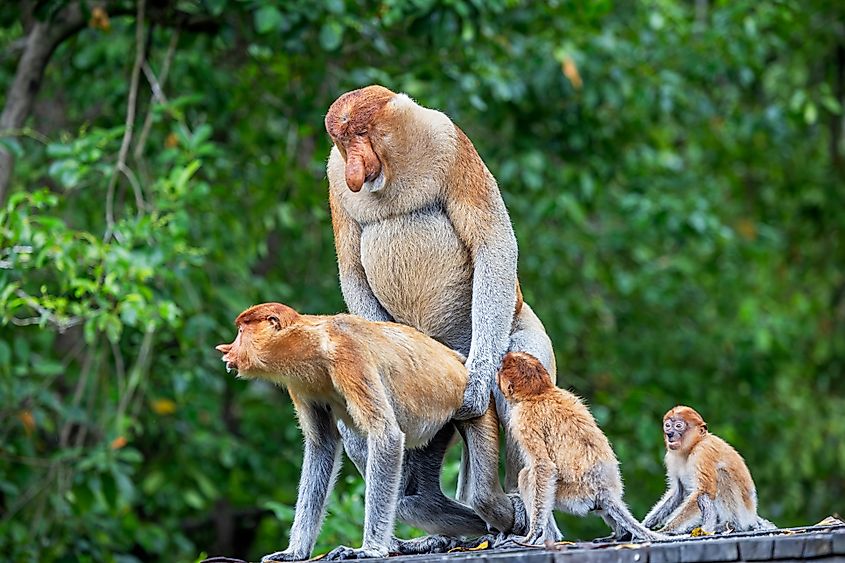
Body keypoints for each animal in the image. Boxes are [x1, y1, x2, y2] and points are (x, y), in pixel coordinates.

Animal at [215, 303, 521, 562]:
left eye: (241, 331)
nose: (226, 350)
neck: (312, 344)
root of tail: (460, 363)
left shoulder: (349, 357)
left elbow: (386, 434)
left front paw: (368, 550)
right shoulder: (302, 386)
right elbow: (322, 447)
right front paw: (294, 552)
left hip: (476, 408)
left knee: (482, 497)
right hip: (439, 428)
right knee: (416, 502)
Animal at [324, 84, 559, 538]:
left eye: (361, 133)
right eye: (342, 141)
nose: (355, 170)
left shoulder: (448, 142)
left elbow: (492, 243)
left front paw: (476, 387)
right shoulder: (333, 176)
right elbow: (351, 270)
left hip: (514, 329)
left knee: (520, 380)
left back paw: (519, 508)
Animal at [496, 352, 667, 544]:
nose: (497, 376)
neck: (540, 392)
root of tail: (603, 489)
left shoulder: (523, 417)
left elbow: (544, 466)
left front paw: (533, 534)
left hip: (575, 496)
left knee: (526, 476)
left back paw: (547, 537)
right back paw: (622, 533)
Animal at [642, 405, 776, 535]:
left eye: (678, 426)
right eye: (668, 425)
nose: (669, 433)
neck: (693, 446)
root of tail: (752, 515)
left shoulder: (703, 450)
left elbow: (705, 490)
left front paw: (665, 530)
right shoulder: (671, 457)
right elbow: (679, 492)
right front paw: (645, 525)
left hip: (742, 514)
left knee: (722, 474)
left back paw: (730, 525)